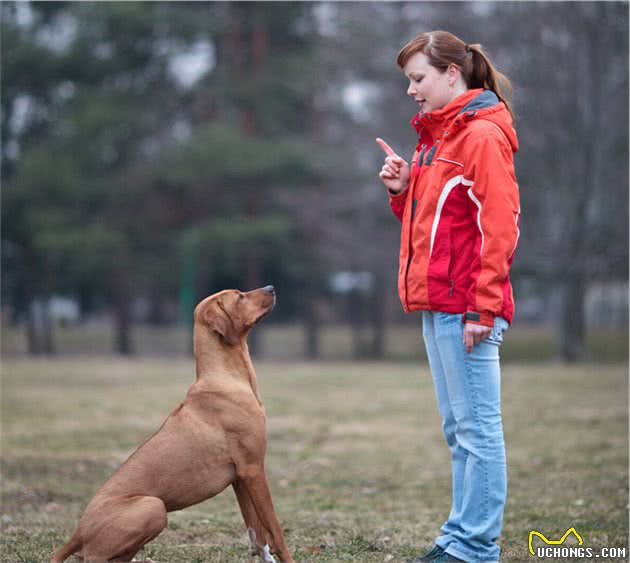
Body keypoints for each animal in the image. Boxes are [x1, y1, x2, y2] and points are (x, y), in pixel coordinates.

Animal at [51, 286, 294, 563]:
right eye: (240, 296)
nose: (271, 288)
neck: (225, 378)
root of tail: (77, 534)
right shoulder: (253, 470)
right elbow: (275, 530)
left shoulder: (240, 477)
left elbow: (257, 533)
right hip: (153, 506)